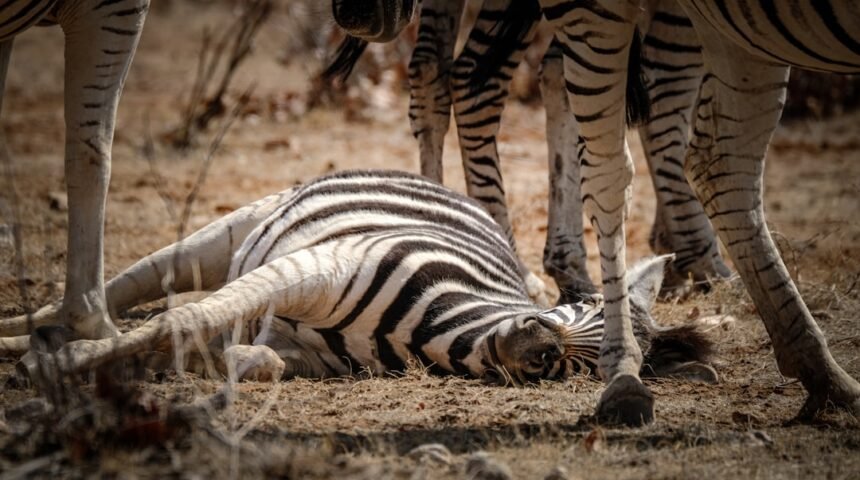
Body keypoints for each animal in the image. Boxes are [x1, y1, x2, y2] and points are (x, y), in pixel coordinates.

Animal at [10, 170, 717, 394]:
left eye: (588, 367)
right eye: (580, 309)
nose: (534, 344)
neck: (433, 331)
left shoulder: (304, 353)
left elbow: (251, 356)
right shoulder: (312, 268)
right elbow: (184, 317)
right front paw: (63, 363)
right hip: (226, 236)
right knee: (132, 286)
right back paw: (22, 336)